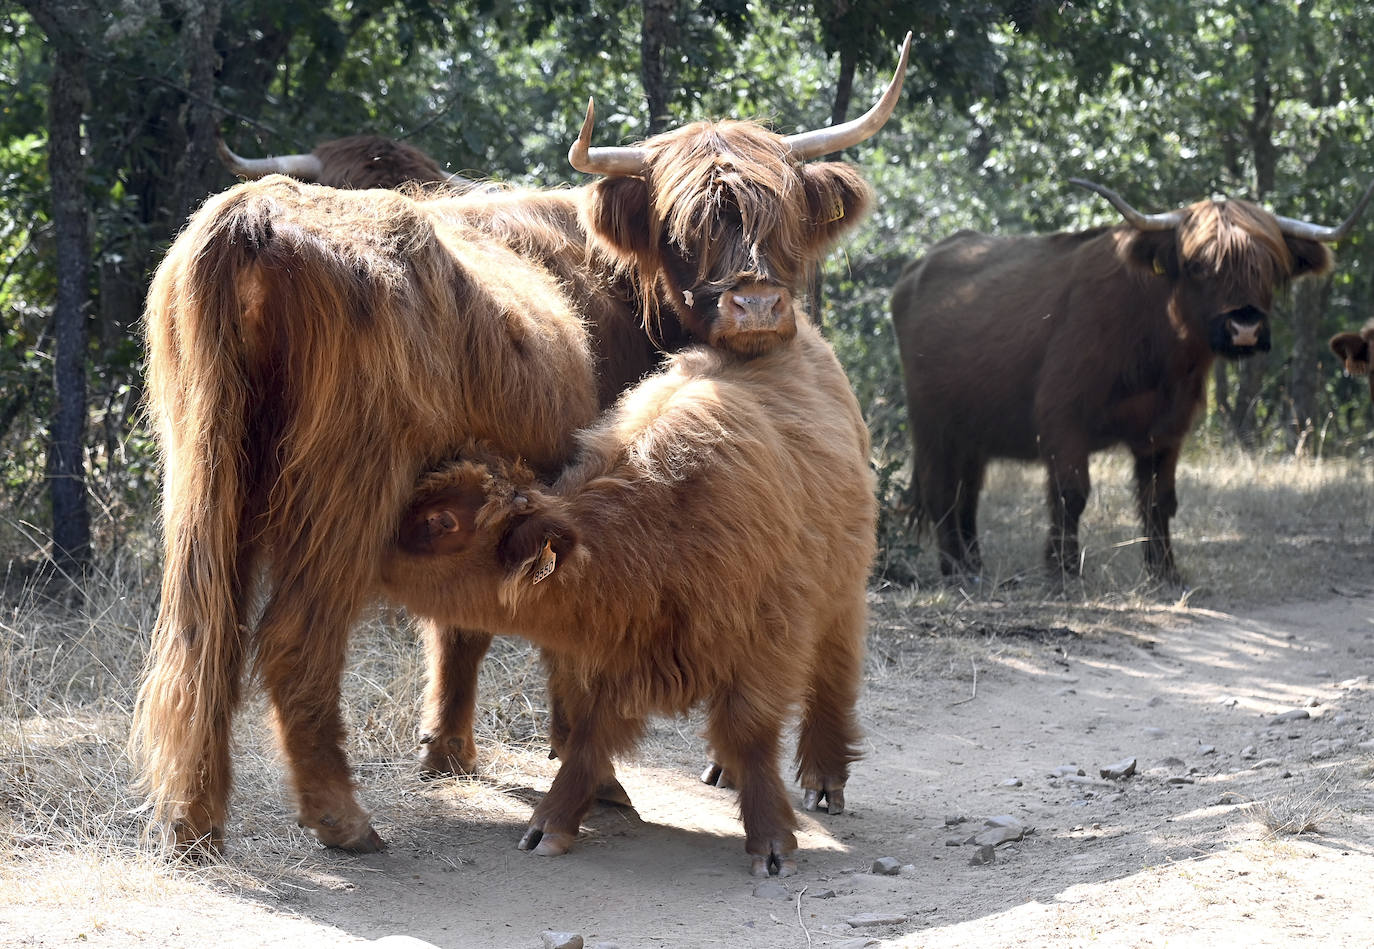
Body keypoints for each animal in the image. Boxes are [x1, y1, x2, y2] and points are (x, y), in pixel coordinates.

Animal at [384, 322, 879, 878]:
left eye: (442, 521)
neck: (653, 540)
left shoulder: (765, 644)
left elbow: (750, 733)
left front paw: (771, 840)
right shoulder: (605, 662)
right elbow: (588, 737)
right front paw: (551, 824)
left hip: (841, 596)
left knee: (832, 680)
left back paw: (824, 778)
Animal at [890, 174, 1374, 582]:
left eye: (1271, 267)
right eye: (1199, 266)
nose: (1245, 328)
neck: (1158, 350)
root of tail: (917, 267)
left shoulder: (1168, 428)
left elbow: (1160, 499)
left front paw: (1164, 571)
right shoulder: (1062, 416)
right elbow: (1071, 493)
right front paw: (1063, 571)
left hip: (972, 433)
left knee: (967, 493)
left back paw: (974, 564)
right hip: (931, 425)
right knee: (940, 490)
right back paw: (955, 570)